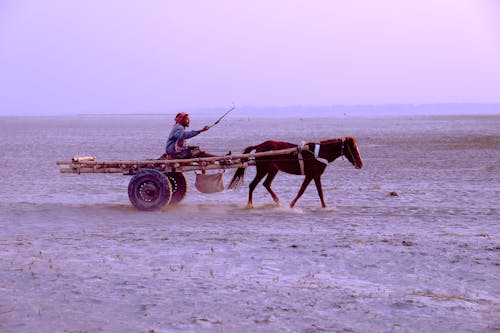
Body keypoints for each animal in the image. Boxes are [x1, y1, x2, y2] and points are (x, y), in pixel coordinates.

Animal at [228, 136, 364, 208]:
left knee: (266, 184)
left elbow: (319, 192)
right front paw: (292, 205)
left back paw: (277, 201)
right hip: (263, 169)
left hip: (273, 169)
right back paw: (250, 205)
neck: (319, 153)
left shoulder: (315, 175)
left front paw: (324, 206)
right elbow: (303, 190)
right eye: (353, 148)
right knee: (253, 185)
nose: (361, 164)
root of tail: (259, 146)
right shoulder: (312, 174)